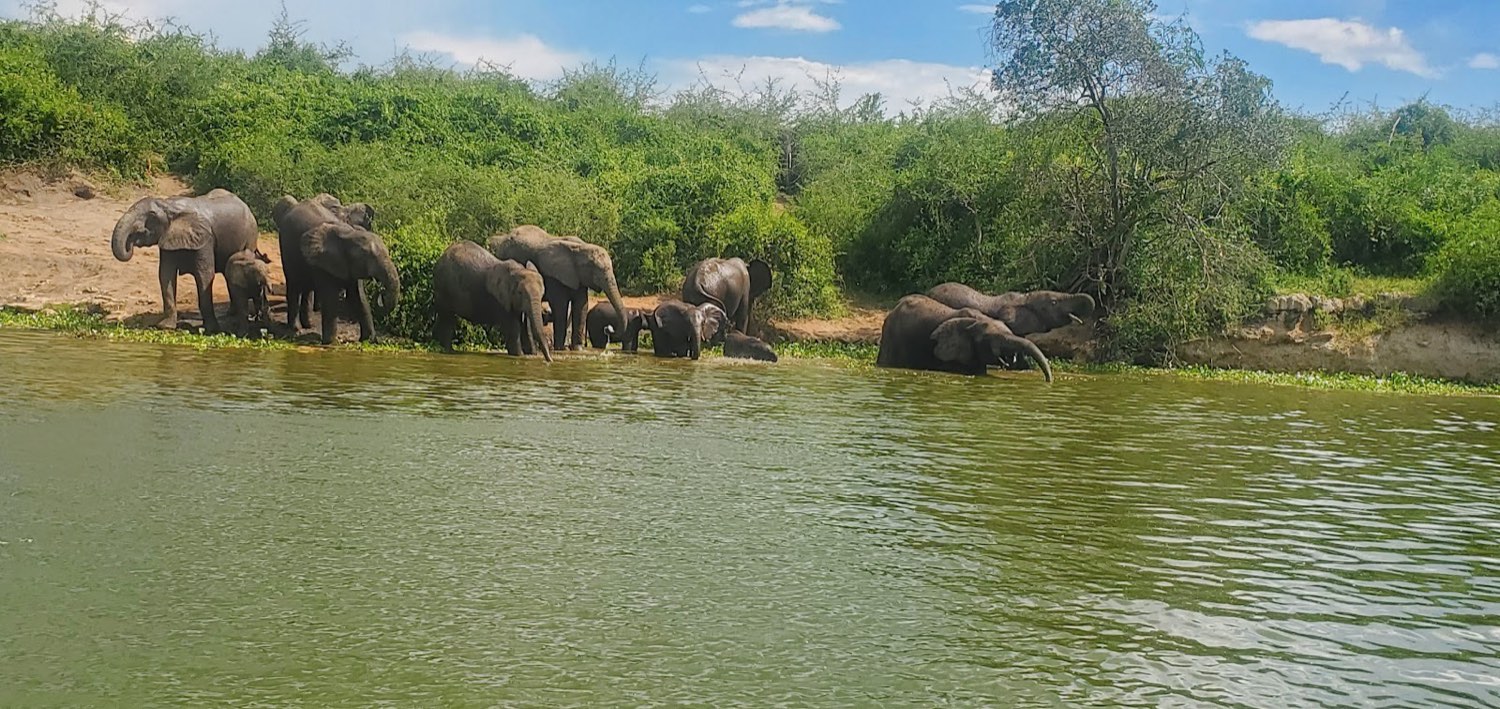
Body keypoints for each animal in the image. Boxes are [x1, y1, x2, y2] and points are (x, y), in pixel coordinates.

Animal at [110, 188, 258, 332]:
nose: (131, 241)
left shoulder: (205, 240)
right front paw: (165, 327)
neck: (169, 205)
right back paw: (230, 313)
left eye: (151, 215)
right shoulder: (168, 238)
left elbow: (204, 276)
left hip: (251, 235)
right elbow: (166, 275)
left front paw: (211, 330)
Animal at [487, 225, 627, 352]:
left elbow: (581, 306)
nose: (608, 329)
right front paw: (561, 349)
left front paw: (578, 349)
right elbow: (561, 307)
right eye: (595, 270)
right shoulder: (555, 276)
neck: (581, 248)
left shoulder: (578, 278)